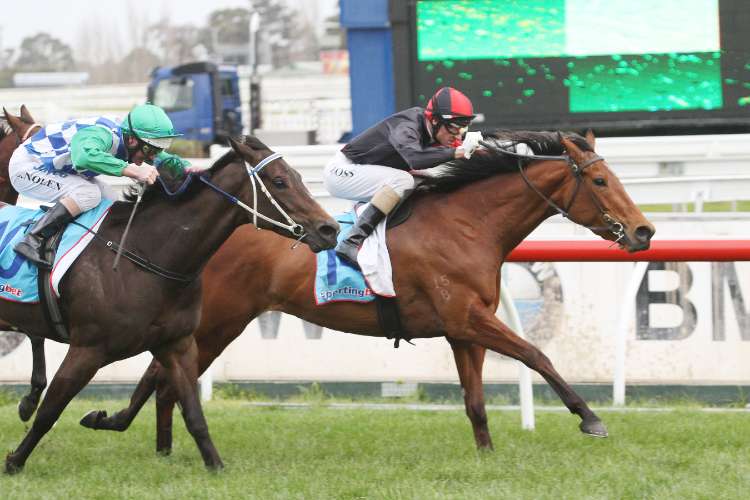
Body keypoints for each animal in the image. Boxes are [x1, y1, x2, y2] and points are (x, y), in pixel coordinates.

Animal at [0, 133, 339, 474]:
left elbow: (193, 412)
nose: (330, 229)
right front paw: (14, 461)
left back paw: (29, 398)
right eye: (280, 181)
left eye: (299, 177)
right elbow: (50, 412)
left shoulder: (177, 345)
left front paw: (215, 465)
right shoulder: (88, 349)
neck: (144, 255)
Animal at [79, 130, 655, 454]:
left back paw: (153, 443)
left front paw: (487, 456)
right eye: (600, 182)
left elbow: (475, 403)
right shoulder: (467, 318)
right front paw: (590, 418)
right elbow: (537, 355)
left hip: (218, 323)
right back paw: (131, 430)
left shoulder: (462, 330)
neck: (468, 224)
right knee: (164, 377)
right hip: (221, 320)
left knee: (165, 378)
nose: (644, 232)